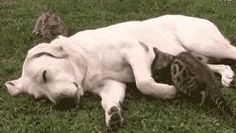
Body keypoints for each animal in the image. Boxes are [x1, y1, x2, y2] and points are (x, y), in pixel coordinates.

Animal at [4, 14, 236, 129]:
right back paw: (227, 76)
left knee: (230, 52)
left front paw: (169, 91)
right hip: (193, 54)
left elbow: (143, 83)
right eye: (41, 98)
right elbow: (110, 101)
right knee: (217, 66)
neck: (86, 61)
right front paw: (113, 114)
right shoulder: (111, 85)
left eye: (45, 74)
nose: (63, 104)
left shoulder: (135, 50)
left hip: (202, 43)